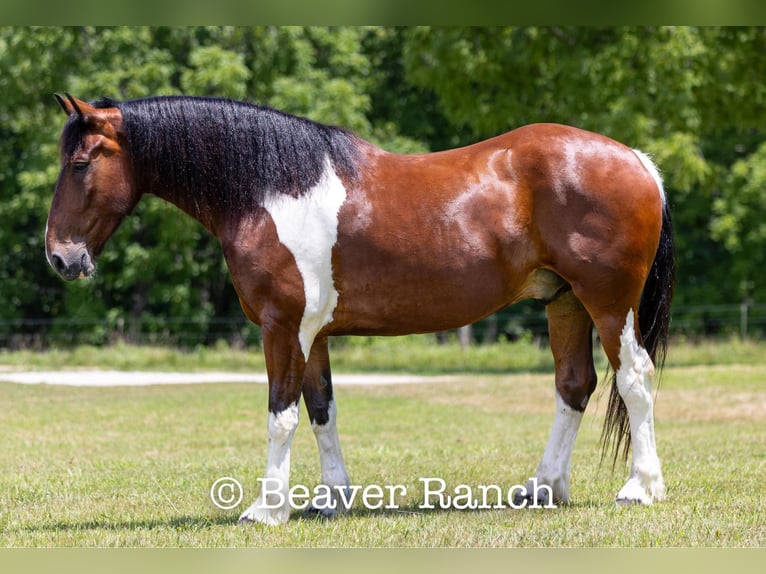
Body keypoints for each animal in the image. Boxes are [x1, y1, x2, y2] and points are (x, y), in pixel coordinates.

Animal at [46, 93, 674, 525]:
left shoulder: (283, 328)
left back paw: (640, 488)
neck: (271, 191)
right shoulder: (313, 334)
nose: (59, 256)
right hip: (563, 302)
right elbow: (321, 410)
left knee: (634, 381)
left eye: (81, 163)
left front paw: (267, 508)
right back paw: (542, 488)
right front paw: (331, 499)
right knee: (573, 386)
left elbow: (281, 415)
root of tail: (637, 160)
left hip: (607, 304)